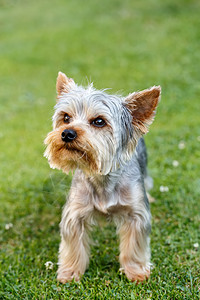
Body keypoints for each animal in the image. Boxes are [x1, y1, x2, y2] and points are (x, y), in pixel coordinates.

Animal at [44, 71, 161, 282]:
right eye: (66, 117)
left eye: (99, 121)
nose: (67, 133)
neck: (102, 177)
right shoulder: (75, 212)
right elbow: (73, 244)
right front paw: (70, 272)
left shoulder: (136, 214)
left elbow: (134, 244)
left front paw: (136, 272)